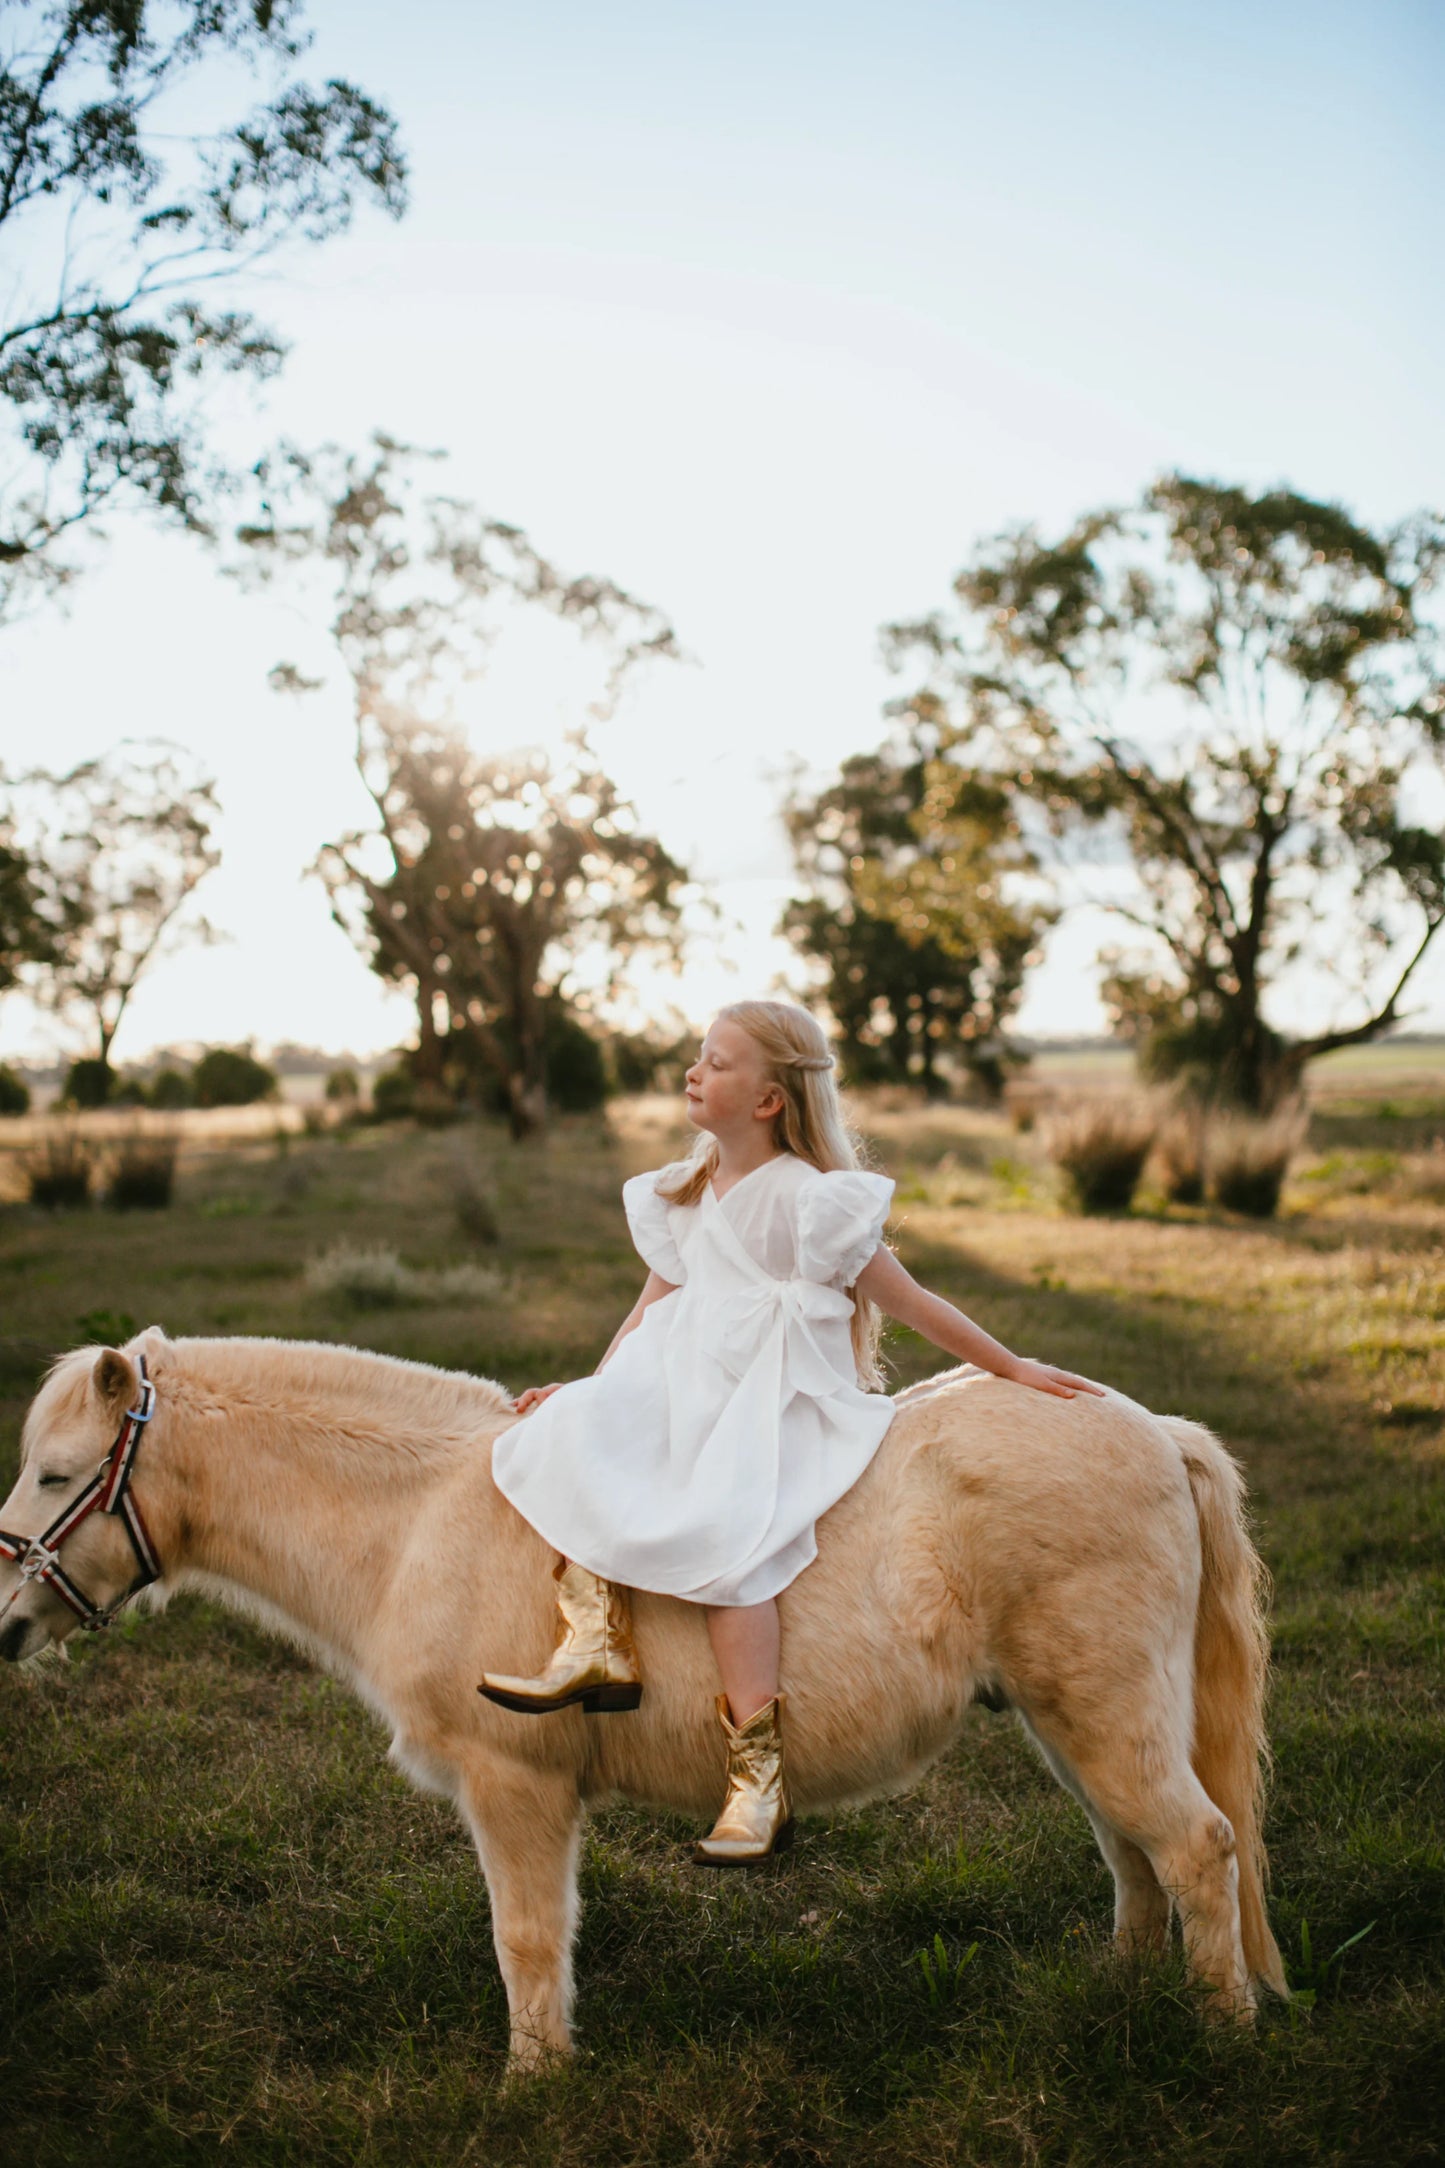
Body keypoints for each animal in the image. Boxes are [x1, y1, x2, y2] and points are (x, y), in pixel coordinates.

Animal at [0, 1318, 1291, 2063]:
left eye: (58, 1475)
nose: (8, 1622)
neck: (419, 1515)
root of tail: (1148, 1426)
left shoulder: (512, 1784)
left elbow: (524, 1936)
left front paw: (531, 2082)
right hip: (1070, 1717)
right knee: (1130, 1852)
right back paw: (1122, 1998)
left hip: (1103, 1712)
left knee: (1193, 1846)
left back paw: (1218, 2040)